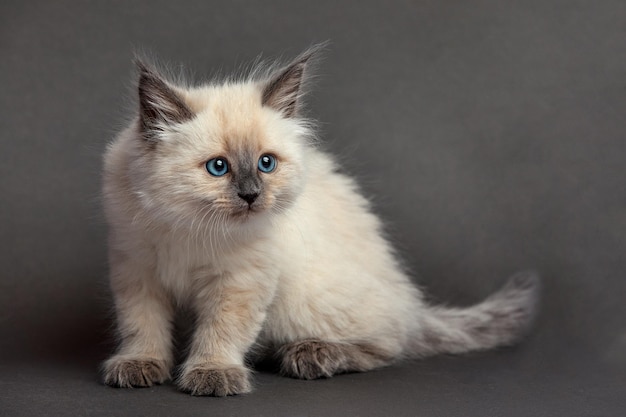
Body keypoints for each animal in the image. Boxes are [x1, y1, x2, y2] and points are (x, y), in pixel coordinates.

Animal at [101, 44, 536, 394]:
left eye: (266, 163)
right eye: (218, 167)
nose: (251, 195)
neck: (189, 228)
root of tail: (411, 303)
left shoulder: (241, 282)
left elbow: (221, 331)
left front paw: (212, 374)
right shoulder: (137, 272)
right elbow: (143, 326)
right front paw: (140, 365)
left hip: (308, 303)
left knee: (389, 344)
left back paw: (310, 355)